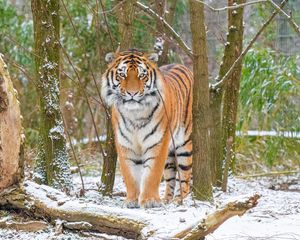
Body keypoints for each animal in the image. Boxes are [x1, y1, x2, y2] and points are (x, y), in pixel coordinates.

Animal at [102, 48, 193, 208]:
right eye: (122, 74)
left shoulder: (158, 142)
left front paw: (150, 201)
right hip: (170, 155)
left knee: (184, 179)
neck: (135, 114)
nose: (132, 93)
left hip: (184, 145)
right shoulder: (125, 144)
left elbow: (152, 174)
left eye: (142, 75)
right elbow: (130, 175)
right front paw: (131, 200)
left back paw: (178, 201)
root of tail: (181, 64)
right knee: (170, 177)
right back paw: (167, 200)